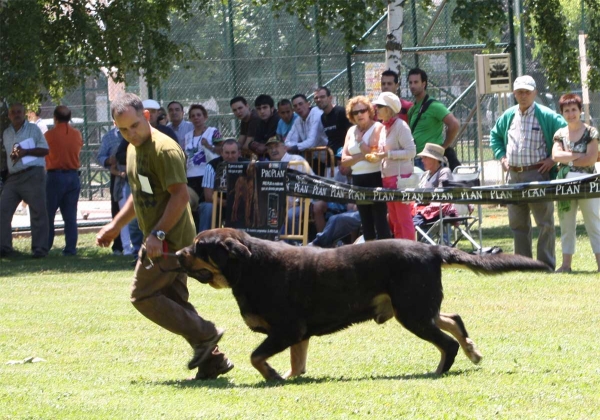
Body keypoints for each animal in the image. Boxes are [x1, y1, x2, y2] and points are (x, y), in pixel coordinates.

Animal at [176, 228, 552, 382]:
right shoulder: (299, 335)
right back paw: (473, 351)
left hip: (412, 313)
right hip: (414, 308)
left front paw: (272, 375)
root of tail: (431, 249)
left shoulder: (288, 329)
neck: (251, 268)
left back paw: (439, 370)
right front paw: (288, 376)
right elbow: (297, 363)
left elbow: (256, 356)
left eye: (199, 247)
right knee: (453, 319)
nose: (177, 253)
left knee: (446, 342)